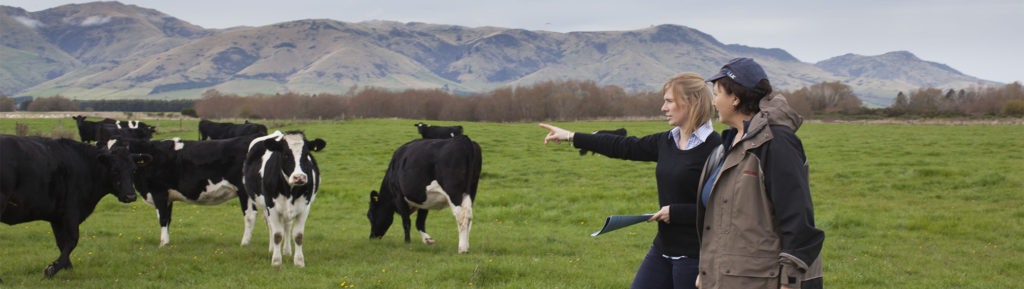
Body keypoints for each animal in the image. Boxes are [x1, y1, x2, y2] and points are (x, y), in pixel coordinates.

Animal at [0, 135, 148, 280]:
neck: (86, 166)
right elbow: (72, 240)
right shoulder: (71, 212)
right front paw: (52, 269)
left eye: (134, 170)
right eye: (114, 170)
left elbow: (61, 242)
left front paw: (67, 269)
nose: (130, 196)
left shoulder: (56, 216)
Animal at [118, 135, 260, 245]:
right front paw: (167, 241)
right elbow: (168, 219)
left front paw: (163, 243)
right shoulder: (168, 197)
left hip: (244, 192)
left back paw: (244, 243)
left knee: (250, 215)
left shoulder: (159, 192)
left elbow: (162, 218)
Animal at [243, 130, 323, 266]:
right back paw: (272, 250)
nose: (299, 177)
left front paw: (299, 261)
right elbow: (277, 234)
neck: (290, 191)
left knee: (287, 226)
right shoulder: (271, 207)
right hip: (265, 207)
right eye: (285, 154)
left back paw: (286, 251)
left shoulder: (304, 207)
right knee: (272, 227)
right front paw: (276, 261)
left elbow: (298, 235)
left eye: (306, 154)